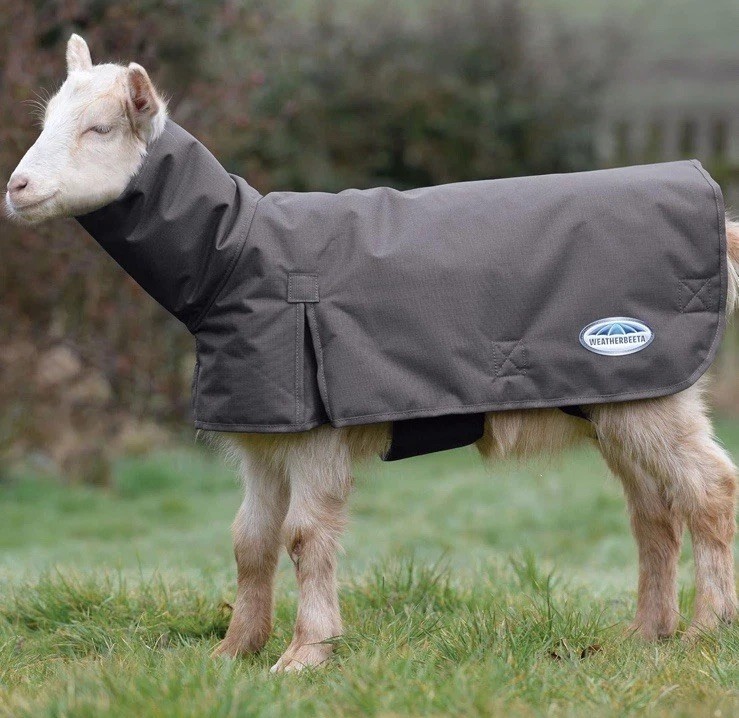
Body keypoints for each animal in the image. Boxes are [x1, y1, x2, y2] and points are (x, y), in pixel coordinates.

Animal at [6, 35, 739, 672]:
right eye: (46, 121)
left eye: (100, 129)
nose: (15, 188)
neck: (235, 257)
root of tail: (716, 215)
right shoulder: (261, 433)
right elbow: (249, 542)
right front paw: (232, 654)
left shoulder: (315, 435)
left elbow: (303, 539)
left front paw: (304, 655)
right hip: (620, 400)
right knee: (653, 511)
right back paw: (645, 636)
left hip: (654, 388)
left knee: (709, 490)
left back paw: (706, 629)